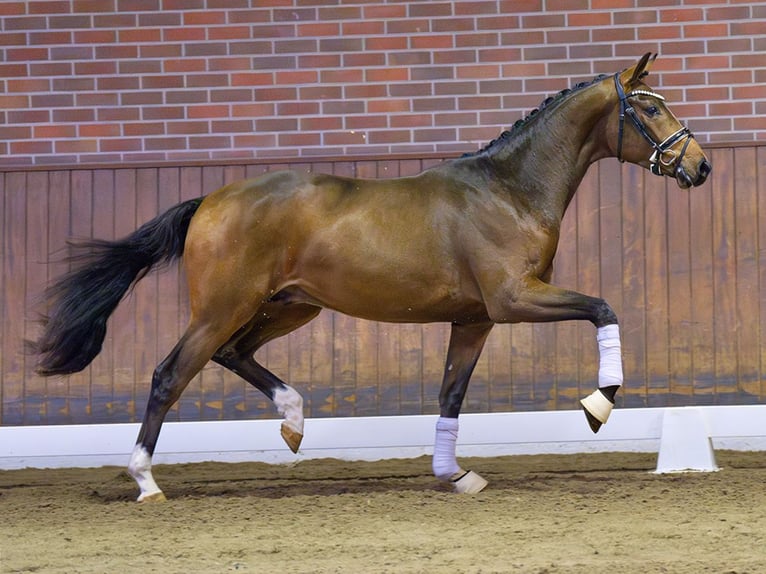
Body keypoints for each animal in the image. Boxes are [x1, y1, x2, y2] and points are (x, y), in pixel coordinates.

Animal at [31, 55, 712, 504]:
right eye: (650, 107)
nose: (701, 166)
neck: (508, 191)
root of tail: (209, 201)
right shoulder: (513, 300)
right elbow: (603, 308)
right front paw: (599, 405)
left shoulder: (475, 319)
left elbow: (450, 394)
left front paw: (454, 474)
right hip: (225, 306)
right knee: (170, 374)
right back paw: (146, 482)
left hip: (288, 306)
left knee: (232, 355)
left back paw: (293, 421)